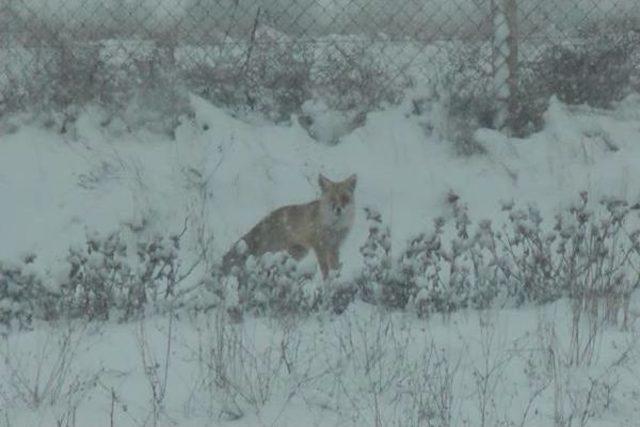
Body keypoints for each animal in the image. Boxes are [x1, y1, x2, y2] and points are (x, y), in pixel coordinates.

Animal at [222, 174, 358, 280]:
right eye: (332, 199)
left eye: (345, 198)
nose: (338, 209)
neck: (335, 226)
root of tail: (268, 217)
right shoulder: (320, 245)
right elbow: (325, 268)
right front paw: (328, 281)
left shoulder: (334, 246)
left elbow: (335, 266)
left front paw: (337, 278)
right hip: (273, 250)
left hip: (298, 252)